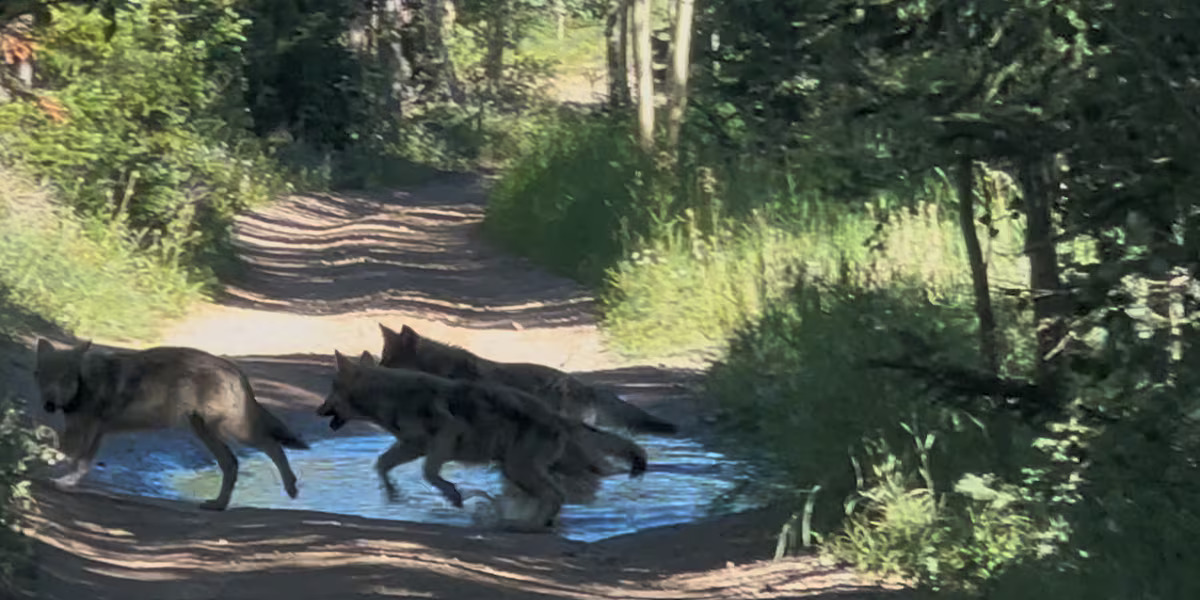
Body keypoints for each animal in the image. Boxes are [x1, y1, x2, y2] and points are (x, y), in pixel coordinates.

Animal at [35, 340, 312, 508]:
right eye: (42, 377)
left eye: (64, 379)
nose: (48, 404)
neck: (84, 382)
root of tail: (233, 368)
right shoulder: (96, 434)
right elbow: (81, 464)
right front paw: (67, 482)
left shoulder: (83, 432)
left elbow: (60, 451)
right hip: (205, 432)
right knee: (232, 464)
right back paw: (218, 505)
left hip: (232, 430)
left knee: (272, 446)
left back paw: (291, 487)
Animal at [316, 350, 648, 530]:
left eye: (330, 390)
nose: (316, 410)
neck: (389, 396)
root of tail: (558, 417)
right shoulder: (413, 446)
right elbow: (382, 464)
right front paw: (393, 494)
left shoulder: (442, 440)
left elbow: (429, 473)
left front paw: (454, 495)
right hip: (535, 469)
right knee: (573, 487)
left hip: (520, 469)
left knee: (557, 494)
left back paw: (525, 525)